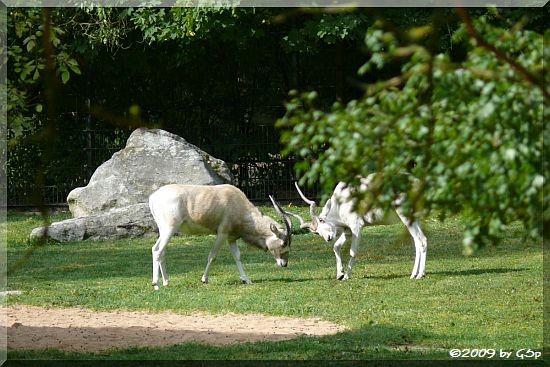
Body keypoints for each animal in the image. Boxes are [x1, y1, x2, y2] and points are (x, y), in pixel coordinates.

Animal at [147, 184, 294, 290]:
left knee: (159, 250)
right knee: (158, 250)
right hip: (169, 228)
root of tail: (153, 197)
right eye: (283, 243)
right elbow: (212, 255)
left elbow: (237, 257)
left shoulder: (231, 238)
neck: (238, 204)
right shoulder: (222, 234)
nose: (285, 264)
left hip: (165, 230)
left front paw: (246, 279)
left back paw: (166, 282)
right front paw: (204, 279)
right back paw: (156, 284)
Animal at [294, 175, 432, 282]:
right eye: (317, 232)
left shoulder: (356, 227)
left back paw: (416, 275)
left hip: (406, 216)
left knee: (420, 240)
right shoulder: (347, 231)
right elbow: (336, 247)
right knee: (421, 240)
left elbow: (352, 252)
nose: (328, 237)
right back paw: (420, 273)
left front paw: (346, 276)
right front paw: (340, 274)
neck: (341, 201)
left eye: (322, 220)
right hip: (414, 219)